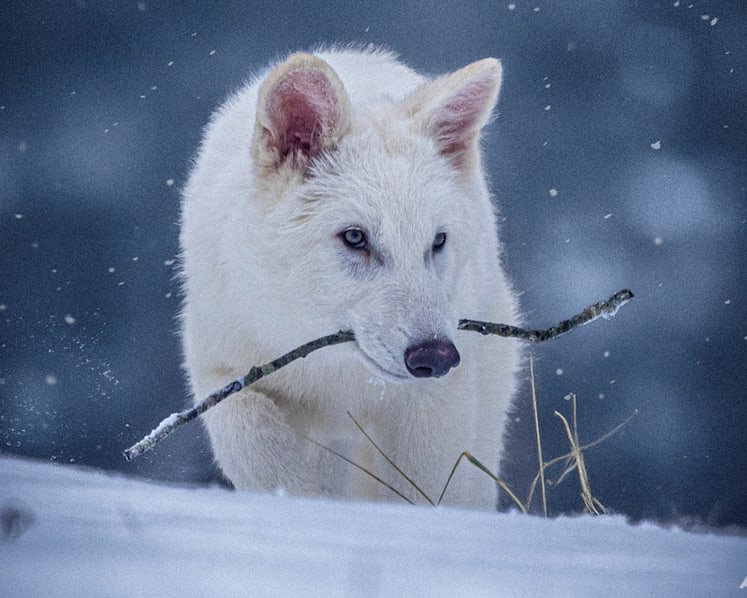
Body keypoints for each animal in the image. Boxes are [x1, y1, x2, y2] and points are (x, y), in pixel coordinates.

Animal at [180, 48, 521, 509]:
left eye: (437, 241)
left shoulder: (434, 404)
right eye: (355, 237)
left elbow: (422, 491)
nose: (436, 356)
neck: (336, 371)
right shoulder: (222, 371)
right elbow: (259, 449)